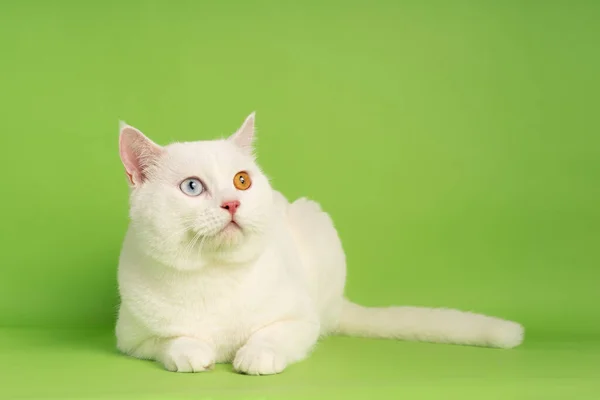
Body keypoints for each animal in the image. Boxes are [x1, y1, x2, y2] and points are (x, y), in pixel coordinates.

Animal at [115, 112, 524, 376]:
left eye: (242, 181)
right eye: (192, 187)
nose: (232, 203)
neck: (216, 276)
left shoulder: (301, 320)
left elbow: (272, 334)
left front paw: (255, 356)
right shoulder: (131, 339)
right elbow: (171, 341)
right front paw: (194, 354)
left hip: (316, 225)